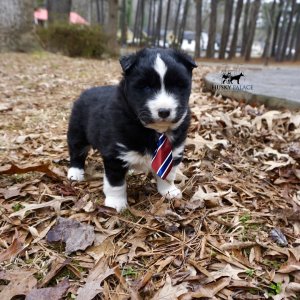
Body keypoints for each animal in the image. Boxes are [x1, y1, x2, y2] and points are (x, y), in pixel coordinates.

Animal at [67, 48, 197, 211]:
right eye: (146, 87)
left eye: (177, 86)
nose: (164, 111)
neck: (155, 131)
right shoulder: (115, 153)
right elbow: (116, 182)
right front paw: (116, 203)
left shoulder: (174, 150)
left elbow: (167, 174)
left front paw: (168, 191)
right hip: (77, 132)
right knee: (77, 152)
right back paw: (75, 173)